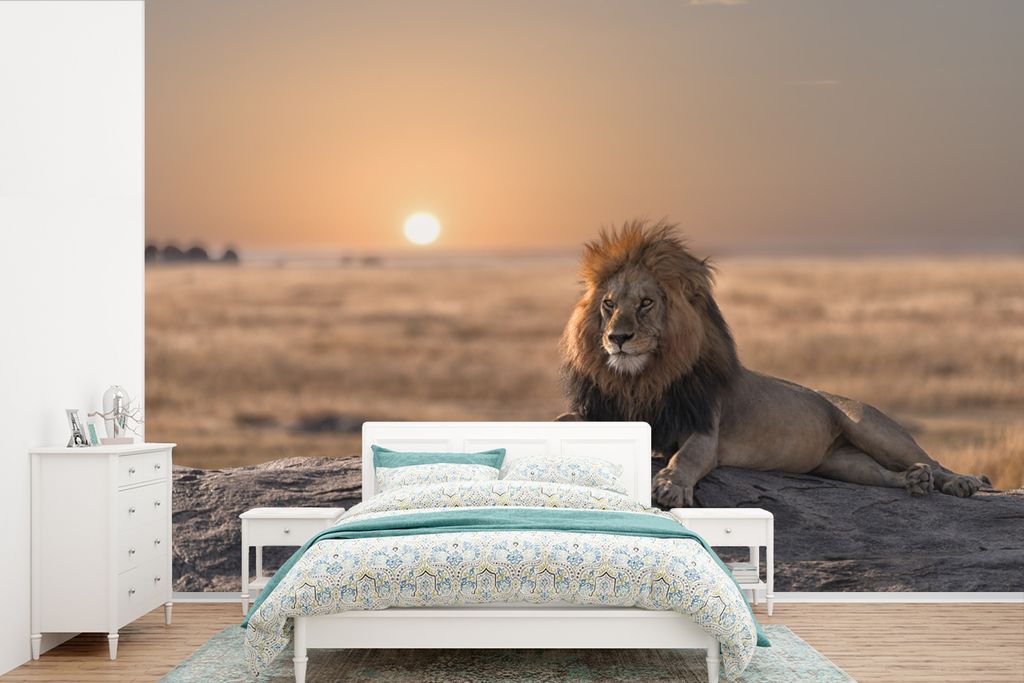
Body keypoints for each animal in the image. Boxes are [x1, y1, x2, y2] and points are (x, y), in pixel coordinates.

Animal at [557, 220, 992, 508]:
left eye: (646, 303)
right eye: (609, 304)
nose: (617, 338)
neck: (642, 378)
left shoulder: (704, 430)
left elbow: (687, 458)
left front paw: (669, 486)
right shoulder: (606, 413)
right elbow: (564, 422)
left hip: (872, 427)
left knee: (933, 459)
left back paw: (960, 483)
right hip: (840, 464)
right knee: (884, 474)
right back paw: (914, 482)